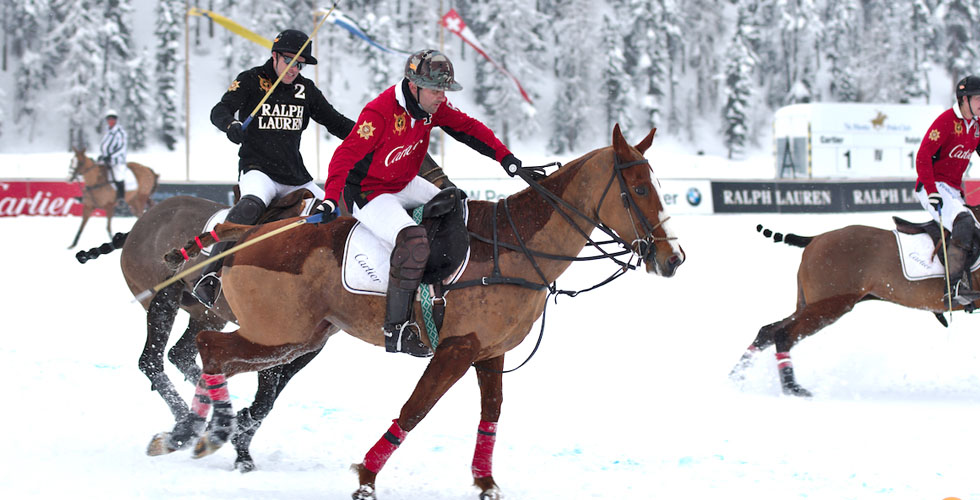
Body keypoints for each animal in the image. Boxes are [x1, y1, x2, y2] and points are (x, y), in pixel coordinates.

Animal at [149, 124, 684, 496]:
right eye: (638, 190)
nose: (673, 258)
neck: (512, 247)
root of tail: (252, 233)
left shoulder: (490, 353)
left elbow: (491, 415)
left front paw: (485, 483)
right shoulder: (455, 350)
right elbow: (415, 408)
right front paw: (366, 476)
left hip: (299, 337)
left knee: (213, 354)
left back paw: (201, 431)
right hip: (279, 332)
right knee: (208, 346)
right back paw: (210, 430)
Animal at [728, 215, 980, 398]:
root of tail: (814, 239)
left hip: (810, 304)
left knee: (768, 330)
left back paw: (736, 377)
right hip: (830, 305)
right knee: (783, 334)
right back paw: (793, 389)